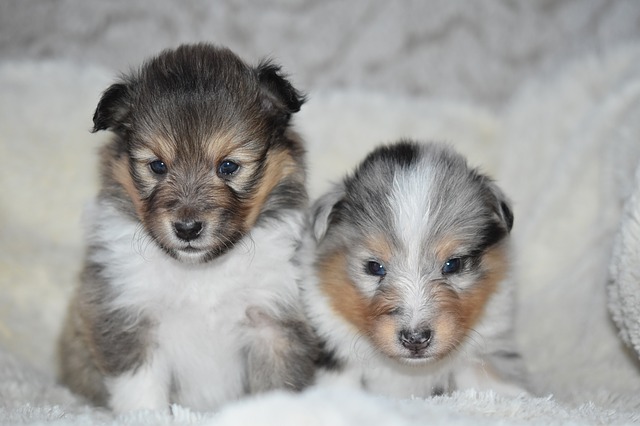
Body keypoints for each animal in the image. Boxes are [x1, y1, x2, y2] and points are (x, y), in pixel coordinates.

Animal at [59, 43, 318, 412]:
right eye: (157, 166)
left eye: (228, 166)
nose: (187, 228)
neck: (200, 273)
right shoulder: (129, 315)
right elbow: (141, 393)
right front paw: (148, 418)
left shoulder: (274, 322)